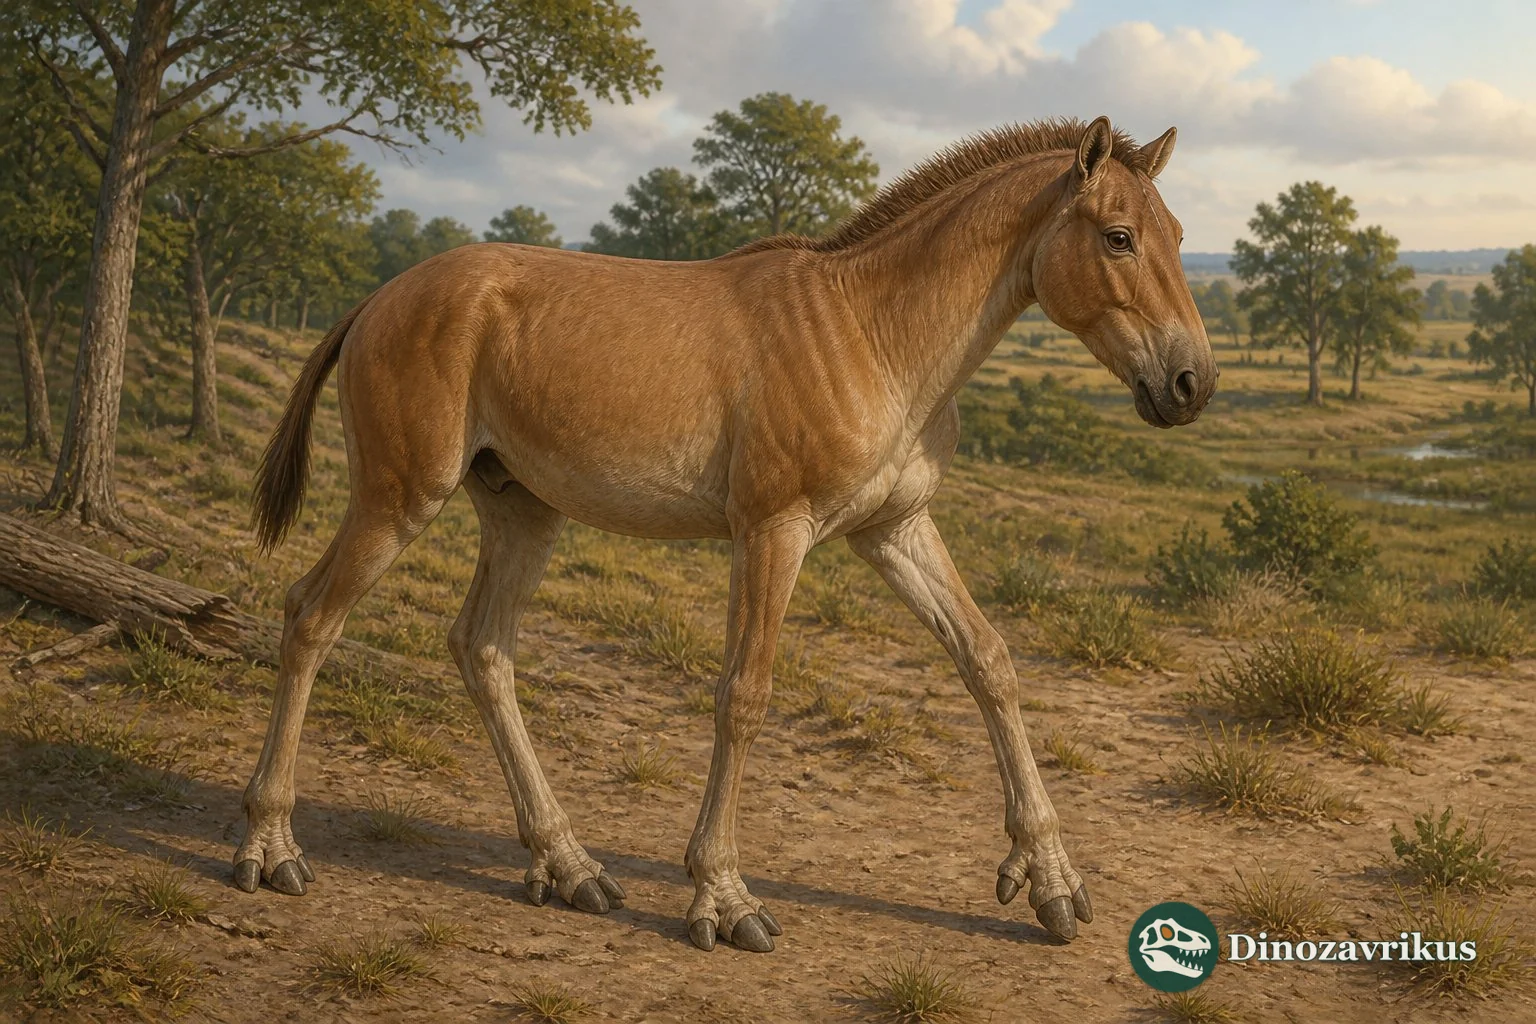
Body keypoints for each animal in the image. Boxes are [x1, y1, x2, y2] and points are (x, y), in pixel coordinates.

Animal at [235, 116, 1216, 953]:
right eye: (1118, 237)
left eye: (1176, 234)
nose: (1190, 383)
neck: (868, 330)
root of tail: (380, 297)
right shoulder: (773, 533)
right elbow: (743, 697)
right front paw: (724, 897)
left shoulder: (895, 530)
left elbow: (989, 663)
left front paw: (1050, 880)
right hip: (399, 499)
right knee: (310, 619)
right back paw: (271, 847)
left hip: (522, 514)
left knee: (482, 651)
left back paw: (569, 865)